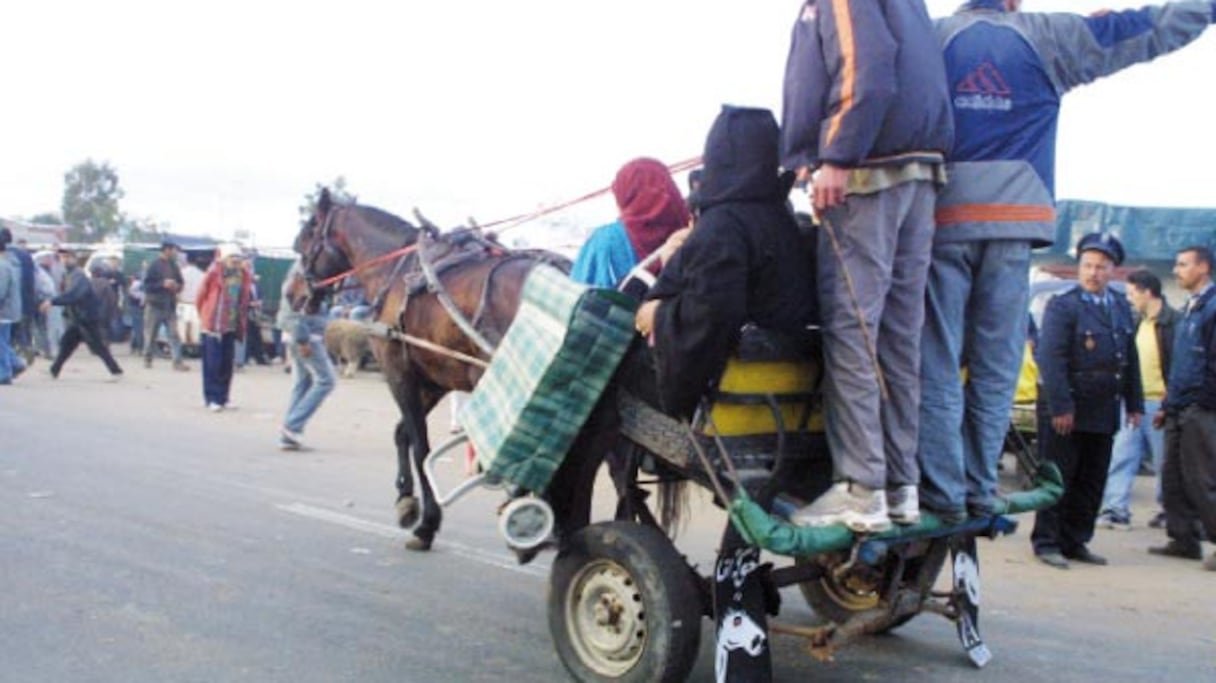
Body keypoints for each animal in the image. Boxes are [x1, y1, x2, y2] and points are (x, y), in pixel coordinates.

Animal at [296, 188, 576, 549]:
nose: (294, 293)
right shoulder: (433, 381)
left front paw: (427, 523)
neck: (398, 273)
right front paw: (406, 500)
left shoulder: (398, 372)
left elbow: (421, 447)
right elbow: (403, 434)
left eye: (306, 236)